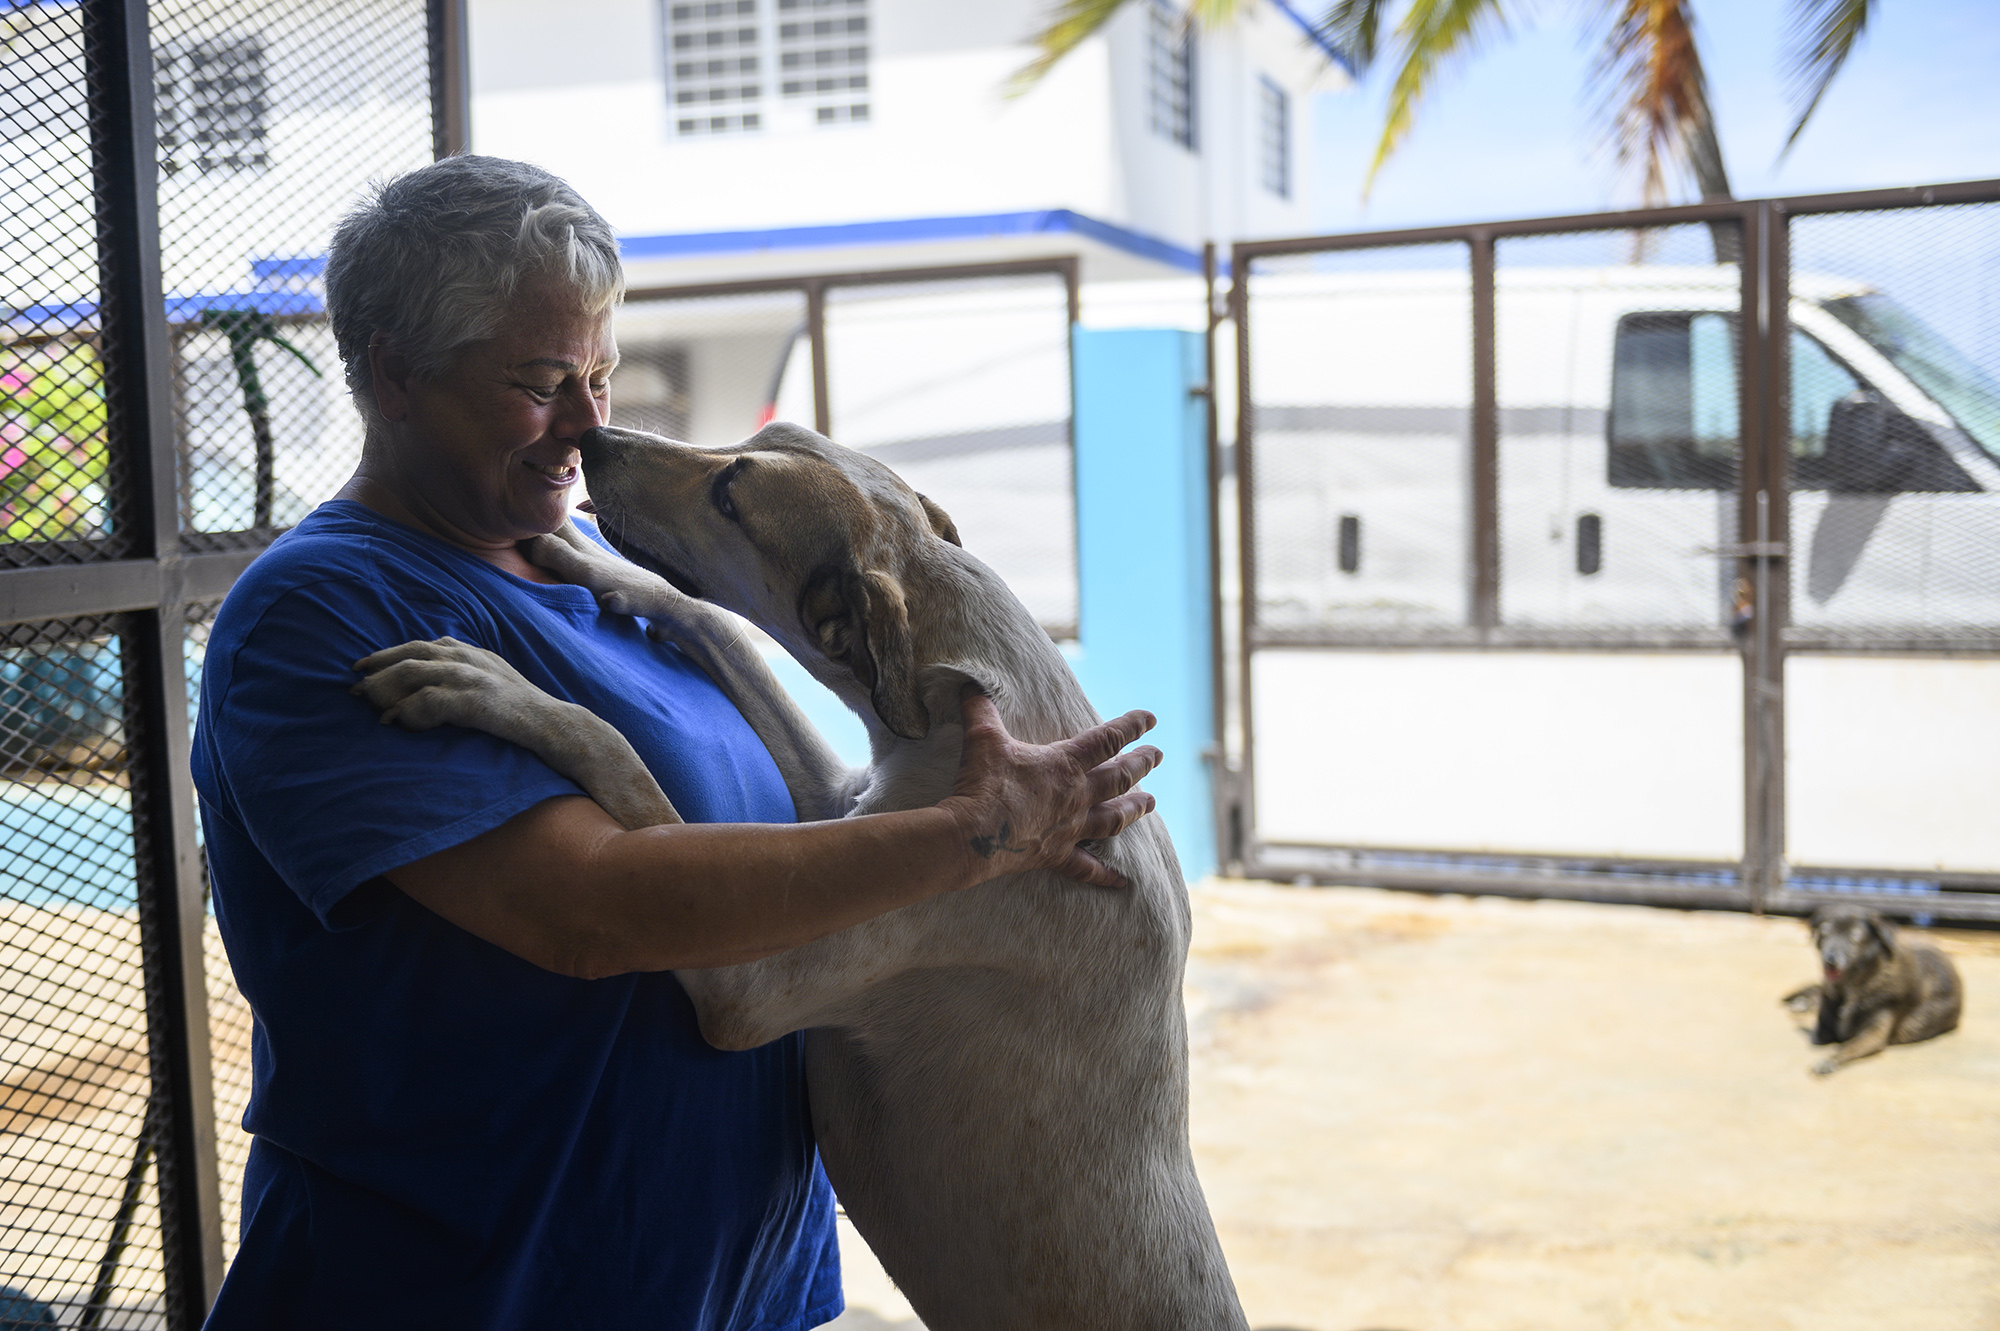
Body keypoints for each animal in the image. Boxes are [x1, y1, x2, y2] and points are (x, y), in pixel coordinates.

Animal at [1784, 895, 1968, 1071]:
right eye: (1825, 931)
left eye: (1855, 935)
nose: (1830, 961)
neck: (1854, 986)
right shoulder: (1825, 1022)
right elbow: (1821, 1034)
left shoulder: (1874, 1035)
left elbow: (1847, 1046)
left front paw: (1829, 1061)